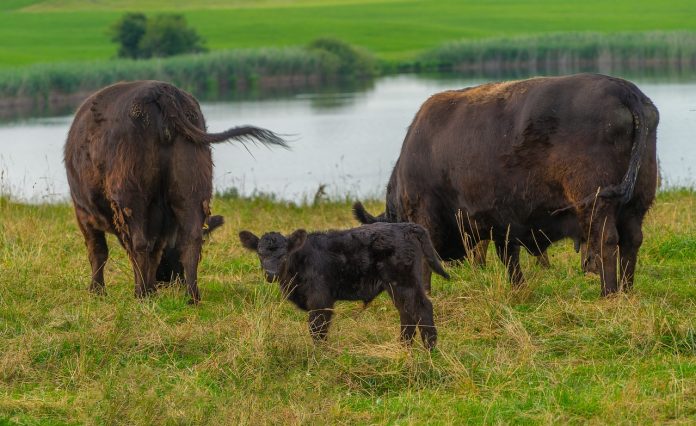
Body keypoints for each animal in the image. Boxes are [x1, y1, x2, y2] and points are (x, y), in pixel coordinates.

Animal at [63, 80, 286, 302]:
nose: (170, 279)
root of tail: (160, 91)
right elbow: (154, 251)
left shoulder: (83, 213)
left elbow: (99, 250)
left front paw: (98, 290)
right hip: (192, 189)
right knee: (191, 239)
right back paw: (191, 296)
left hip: (131, 196)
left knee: (139, 243)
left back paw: (142, 294)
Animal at [354, 72, 656, 296]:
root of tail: (625, 90)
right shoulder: (503, 222)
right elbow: (510, 258)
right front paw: (518, 289)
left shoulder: (426, 218)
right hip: (636, 203)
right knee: (631, 241)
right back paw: (627, 291)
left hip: (596, 204)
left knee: (606, 241)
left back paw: (609, 293)